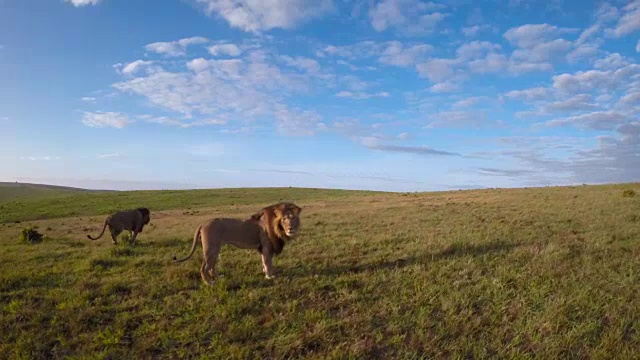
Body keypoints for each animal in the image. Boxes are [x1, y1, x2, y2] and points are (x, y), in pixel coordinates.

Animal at [172, 202, 302, 284]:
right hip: (210, 249)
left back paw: (219, 277)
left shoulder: (262, 248)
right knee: (204, 268)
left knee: (211, 267)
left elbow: (264, 262)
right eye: (284, 219)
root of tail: (203, 223)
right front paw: (269, 276)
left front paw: (265, 273)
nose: (290, 229)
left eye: (293, 218)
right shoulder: (266, 246)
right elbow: (268, 262)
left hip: (216, 249)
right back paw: (209, 283)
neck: (278, 228)